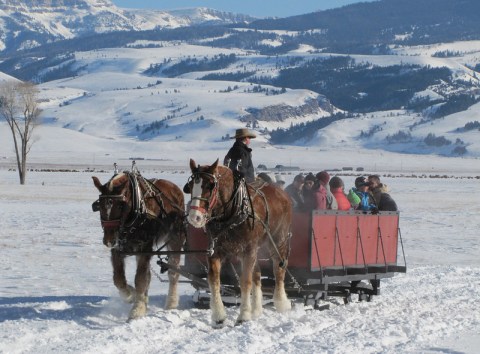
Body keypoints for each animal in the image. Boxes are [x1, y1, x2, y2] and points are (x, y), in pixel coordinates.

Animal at [92, 168, 186, 320]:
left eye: (120, 205)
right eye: (99, 206)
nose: (109, 240)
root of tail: (174, 188)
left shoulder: (145, 248)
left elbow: (140, 279)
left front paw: (138, 309)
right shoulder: (118, 249)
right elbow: (118, 279)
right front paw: (131, 295)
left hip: (175, 239)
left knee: (173, 271)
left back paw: (171, 302)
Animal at [186, 159, 292, 324]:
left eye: (210, 185)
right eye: (191, 186)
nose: (194, 217)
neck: (232, 212)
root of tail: (281, 193)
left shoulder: (248, 250)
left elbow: (245, 281)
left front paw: (244, 315)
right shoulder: (215, 250)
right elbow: (214, 280)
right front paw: (219, 316)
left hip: (278, 240)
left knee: (278, 268)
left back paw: (281, 302)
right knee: (257, 273)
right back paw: (256, 309)